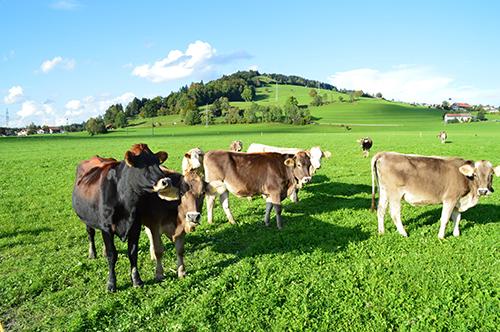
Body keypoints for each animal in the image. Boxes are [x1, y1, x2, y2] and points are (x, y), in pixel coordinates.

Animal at [71, 144, 171, 292]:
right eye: (142, 163)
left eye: (157, 162)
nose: (166, 181)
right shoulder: (106, 228)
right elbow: (112, 255)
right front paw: (111, 283)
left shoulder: (135, 226)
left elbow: (132, 253)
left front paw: (137, 280)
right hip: (87, 219)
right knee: (91, 234)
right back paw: (92, 253)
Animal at [372, 152, 500, 240]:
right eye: (475, 174)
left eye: (491, 174)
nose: (483, 191)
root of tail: (385, 153)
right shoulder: (450, 199)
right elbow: (445, 219)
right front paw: (441, 236)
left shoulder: (457, 201)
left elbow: (457, 218)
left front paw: (456, 234)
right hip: (395, 194)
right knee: (394, 214)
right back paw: (403, 233)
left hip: (384, 191)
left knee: (381, 211)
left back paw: (381, 232)